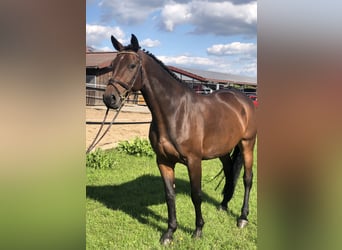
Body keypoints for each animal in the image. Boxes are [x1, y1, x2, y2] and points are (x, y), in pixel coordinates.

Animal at [102, 34, 256, 245]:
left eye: (132, 65)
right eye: (112, 64)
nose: (110, 98)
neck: (175, 112)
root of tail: (244, 99)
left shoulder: (194, 161)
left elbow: (196, 195)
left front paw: (198, 230)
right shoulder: (164, 161)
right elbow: (170, 196)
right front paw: (169, 233)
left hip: (248, 144)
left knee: (247, 179)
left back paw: (242, 218)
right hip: (223, 150)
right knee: (229, 171)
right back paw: (223, 205)